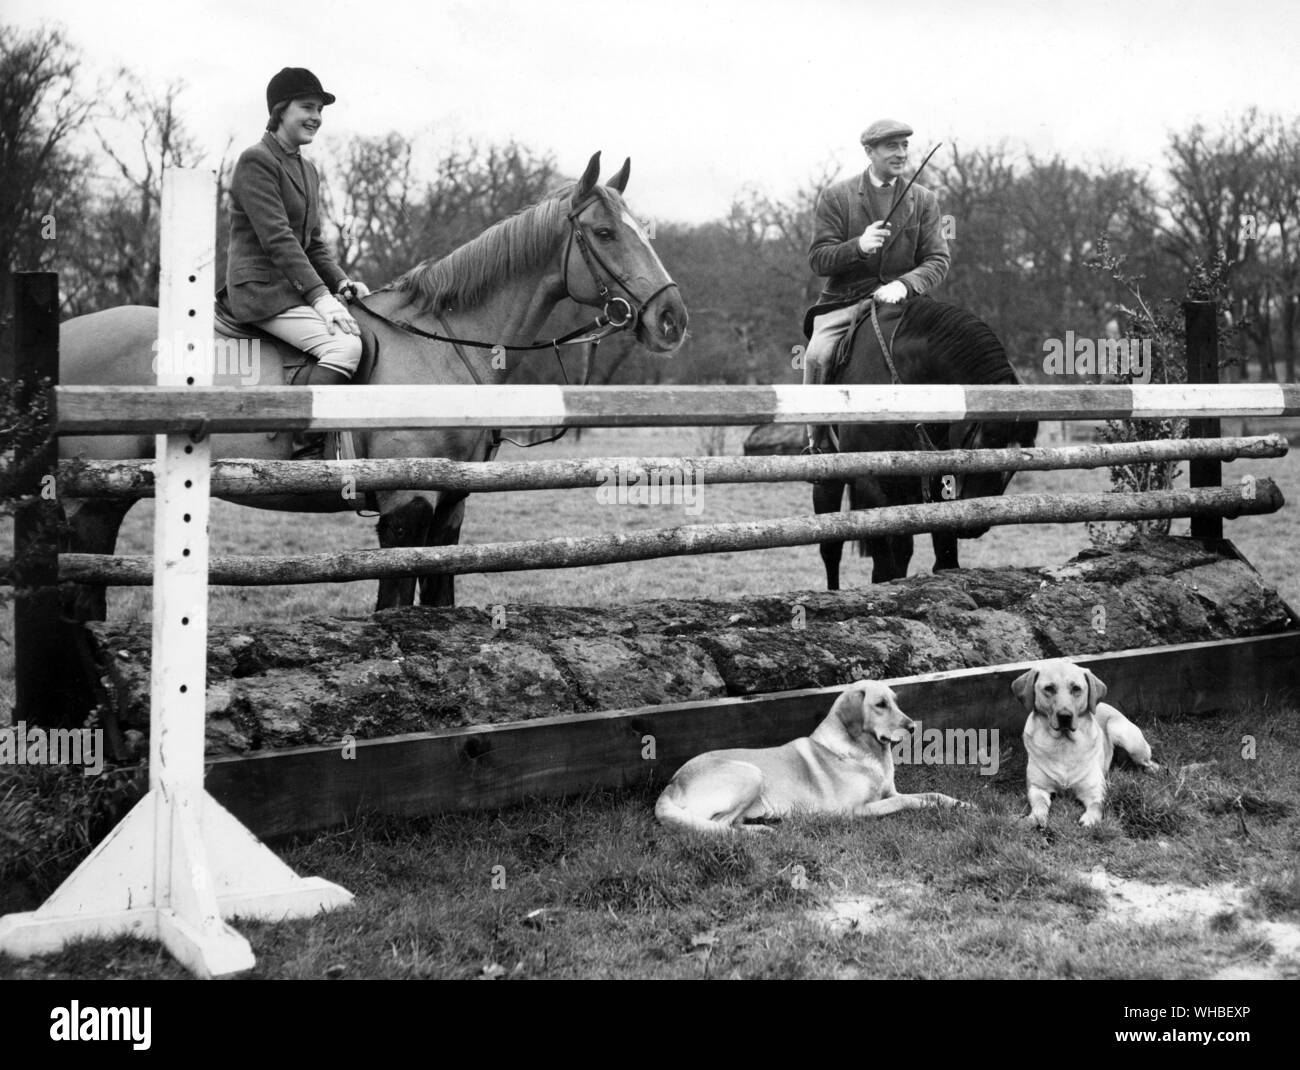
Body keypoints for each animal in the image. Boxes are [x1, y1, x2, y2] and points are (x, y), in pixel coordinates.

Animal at [811, 297, 1034, 590]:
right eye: (981, 443)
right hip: (831, 480)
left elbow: (944, 561)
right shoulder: (870, 486)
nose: (974, 526)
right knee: (831, 549)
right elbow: (883, 568)